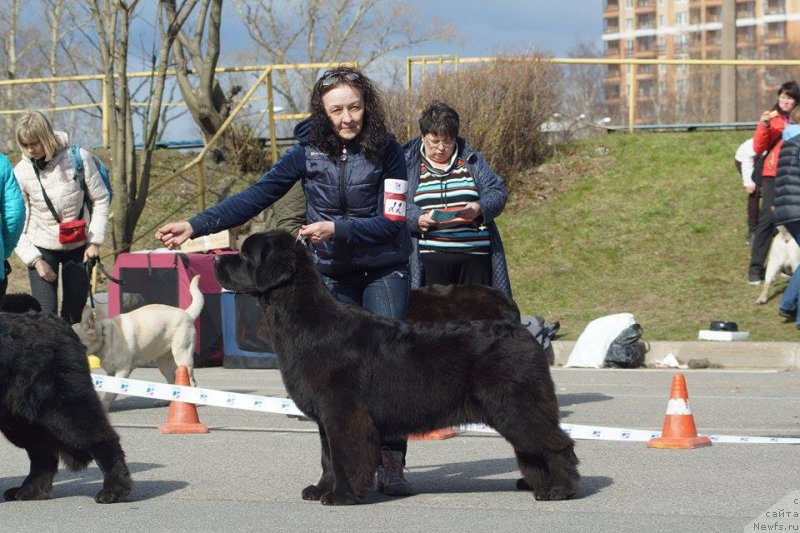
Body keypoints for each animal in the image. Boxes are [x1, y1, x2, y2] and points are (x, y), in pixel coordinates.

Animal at [0, 310, 131, 500]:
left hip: (61, 407)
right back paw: (30, 489)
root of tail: (61, 325)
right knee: (42, 454)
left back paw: (114, 488)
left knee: (103, 438)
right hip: (23, 419)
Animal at [74, 274, 205, 408]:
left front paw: (104, 407)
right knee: (172, 381)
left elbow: (110, 394)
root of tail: (187, 313)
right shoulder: (111, 372)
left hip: (183, 358)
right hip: (164, 364)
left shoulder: (122, 370)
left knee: (192, 383)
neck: (104, 336)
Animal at [216, 230, 580, 502]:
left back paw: (560, 489)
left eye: (246, 255)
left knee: (557, 443)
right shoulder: (325, 417)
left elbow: (343, 454)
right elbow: (327, 456)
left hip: (515, 405)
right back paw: (538, 484)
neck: (304, 319)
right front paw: (320, 489)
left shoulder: (342, 411)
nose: (218, 258)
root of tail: (522, 331)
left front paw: (342, 495)